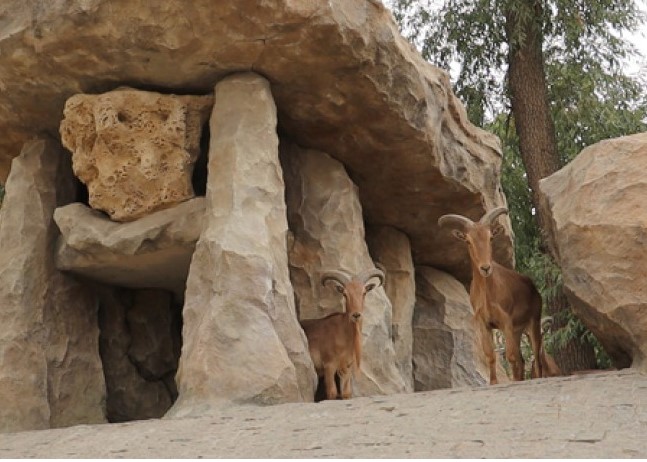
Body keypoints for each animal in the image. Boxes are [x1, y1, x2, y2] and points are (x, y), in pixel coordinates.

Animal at [300, 268, 384, 400]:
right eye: (345, 294)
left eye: (364, 293)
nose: (356, 315)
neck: (344, 336)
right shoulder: (329, 365)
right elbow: (332, 392)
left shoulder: (346, 368)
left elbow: (346, 393)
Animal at [440, 208, 560, 384]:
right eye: (468, 241)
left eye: (490, 237)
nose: (485, 268)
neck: (488, 293)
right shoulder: (484, 324)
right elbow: (490, 355)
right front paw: (493, 383)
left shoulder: (506, 322)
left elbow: (511, 357)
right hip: (518, 331)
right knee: (522, 360)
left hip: (533, 323)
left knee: (536, 358)